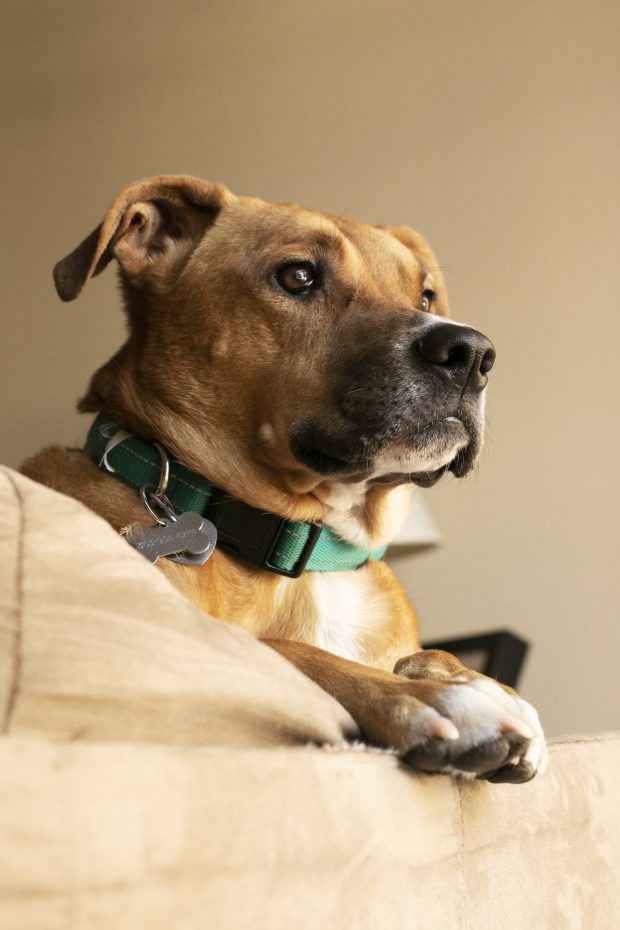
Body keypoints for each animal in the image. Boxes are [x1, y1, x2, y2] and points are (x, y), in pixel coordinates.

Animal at [23, 176, 548, 784]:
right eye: (298, 276)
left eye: (424, 297)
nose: (472, 353)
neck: (311, 554)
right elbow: (285, 650)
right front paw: (435, 699)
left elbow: (429, 653)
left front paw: (478, 680)